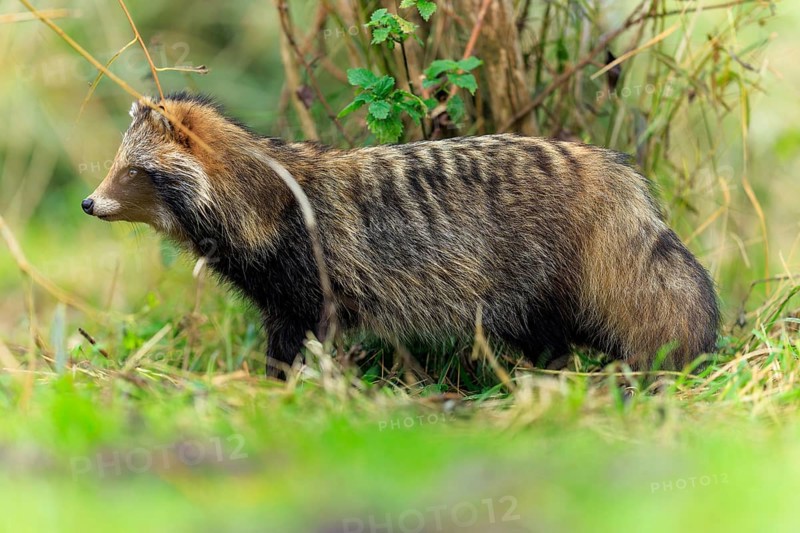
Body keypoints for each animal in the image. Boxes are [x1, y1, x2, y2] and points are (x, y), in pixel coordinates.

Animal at [82, 92, 719, 374]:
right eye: (116, 162)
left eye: (134, 171)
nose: (89, 203)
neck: (268, 200)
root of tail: (606, 166)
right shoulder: (282, 300)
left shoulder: (313, 291)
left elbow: (296, 349)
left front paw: (286, 392)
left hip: (533, 289)